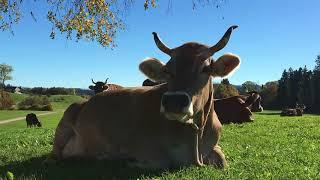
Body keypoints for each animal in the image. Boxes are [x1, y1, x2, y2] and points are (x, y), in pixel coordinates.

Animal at [45, 25, 240, 169]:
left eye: (206, 69)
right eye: (167, 70)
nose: (174, 101)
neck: (195, 137)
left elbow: (223, 162)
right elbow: (161, 162)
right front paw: (127, 160)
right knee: (56, 156)